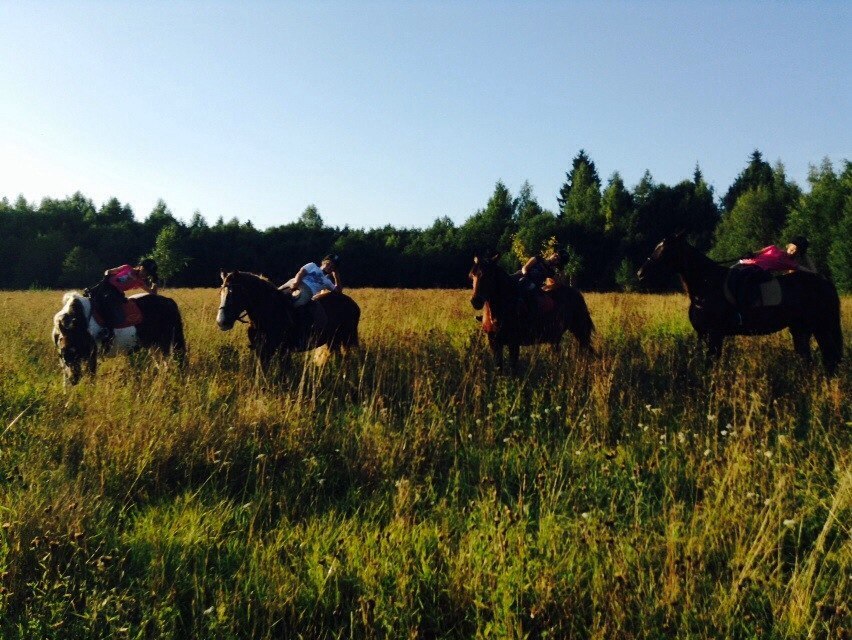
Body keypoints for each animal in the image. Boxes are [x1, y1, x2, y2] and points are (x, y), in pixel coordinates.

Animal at [53, 290, 188, 384]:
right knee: (163, 365)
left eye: (76, 351)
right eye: (62, 354)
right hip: (154, 346)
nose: (73, 380)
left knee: (176, 362)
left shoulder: (92, 356)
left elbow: (91, 376)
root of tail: (170, 302)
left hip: (170, 343)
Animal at [218, 272, 362, 370]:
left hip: (345, 339)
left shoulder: (282, 350)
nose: (221, 322)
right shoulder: (262, 351)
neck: (269, 311)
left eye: (233, 293)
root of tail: (353, 303)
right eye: (221, 292)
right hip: (333, 340)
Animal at [636, 232, 844, 376]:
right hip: (802, 329)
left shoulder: (715, 334)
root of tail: (823, 281)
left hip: (819, 327)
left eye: (665, 250)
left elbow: (710, 364)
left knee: (827, 357)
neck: (706, 286)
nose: (640, 273)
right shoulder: (703, 334)